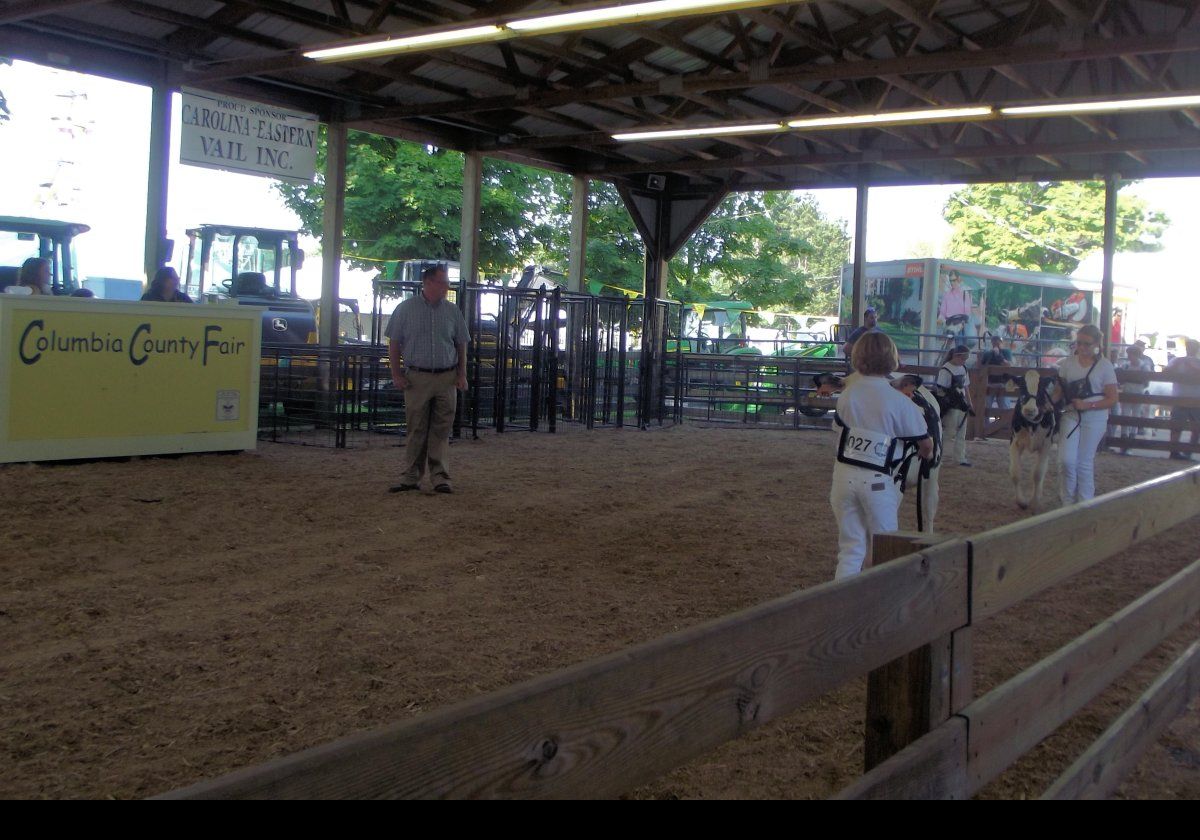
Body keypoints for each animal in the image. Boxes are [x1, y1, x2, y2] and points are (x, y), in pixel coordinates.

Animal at [1008, 372, 1065, 511]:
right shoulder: (1014, 442)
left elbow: (1038, 474)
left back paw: (1061, 494)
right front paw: (1021, 501)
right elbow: (1015, 473)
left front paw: (1035, 503)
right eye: (1022, 388)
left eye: (1040, 390)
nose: (1029, 410)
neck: (1031, 424)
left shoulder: (1046, 445)